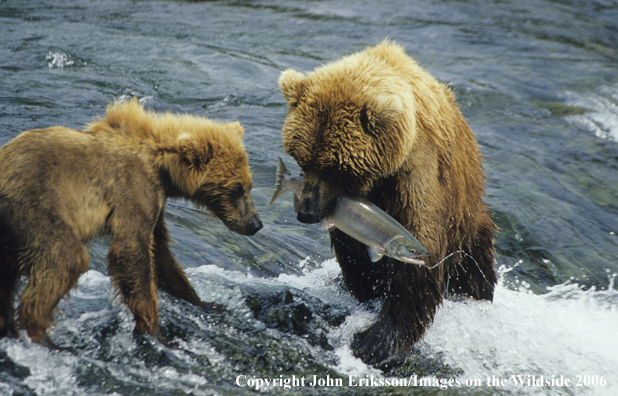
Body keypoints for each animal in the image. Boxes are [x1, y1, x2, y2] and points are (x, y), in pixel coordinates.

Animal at [0, 99, 260, 350]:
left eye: (249, 185)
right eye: (236, 189)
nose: (255, 224)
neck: (162, 167)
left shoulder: (156, 203)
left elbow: (162, 255)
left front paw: (206, 302)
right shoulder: (134, 188)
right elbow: (132, 250)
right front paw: (157, 333)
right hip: (35, 205)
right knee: (66, 258)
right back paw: (47, 339)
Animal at [276, 40, 494, 368]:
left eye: (334, 168)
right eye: (302, 160)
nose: (307, 212)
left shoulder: (418, 170)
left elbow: (423, 248)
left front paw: (376, 342)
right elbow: (353, 251)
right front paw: (368, 290)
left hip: (467, 221)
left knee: (474, 271)